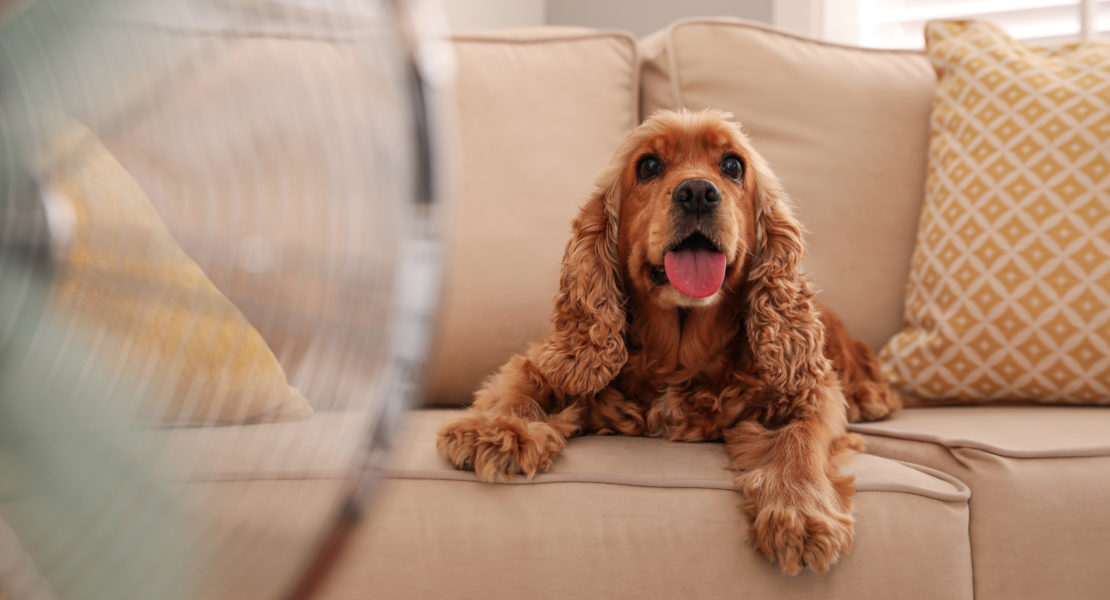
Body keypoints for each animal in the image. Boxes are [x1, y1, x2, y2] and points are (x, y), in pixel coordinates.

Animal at [435, 109, 901, 572]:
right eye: (648, 166)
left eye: (733, 166)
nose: (697, 192)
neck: (679, 355)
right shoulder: (547, 359)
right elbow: (519, 384)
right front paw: (499, 430)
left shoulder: (812, 391)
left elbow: (802, 435)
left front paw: (800, 509)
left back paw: (871, 397)